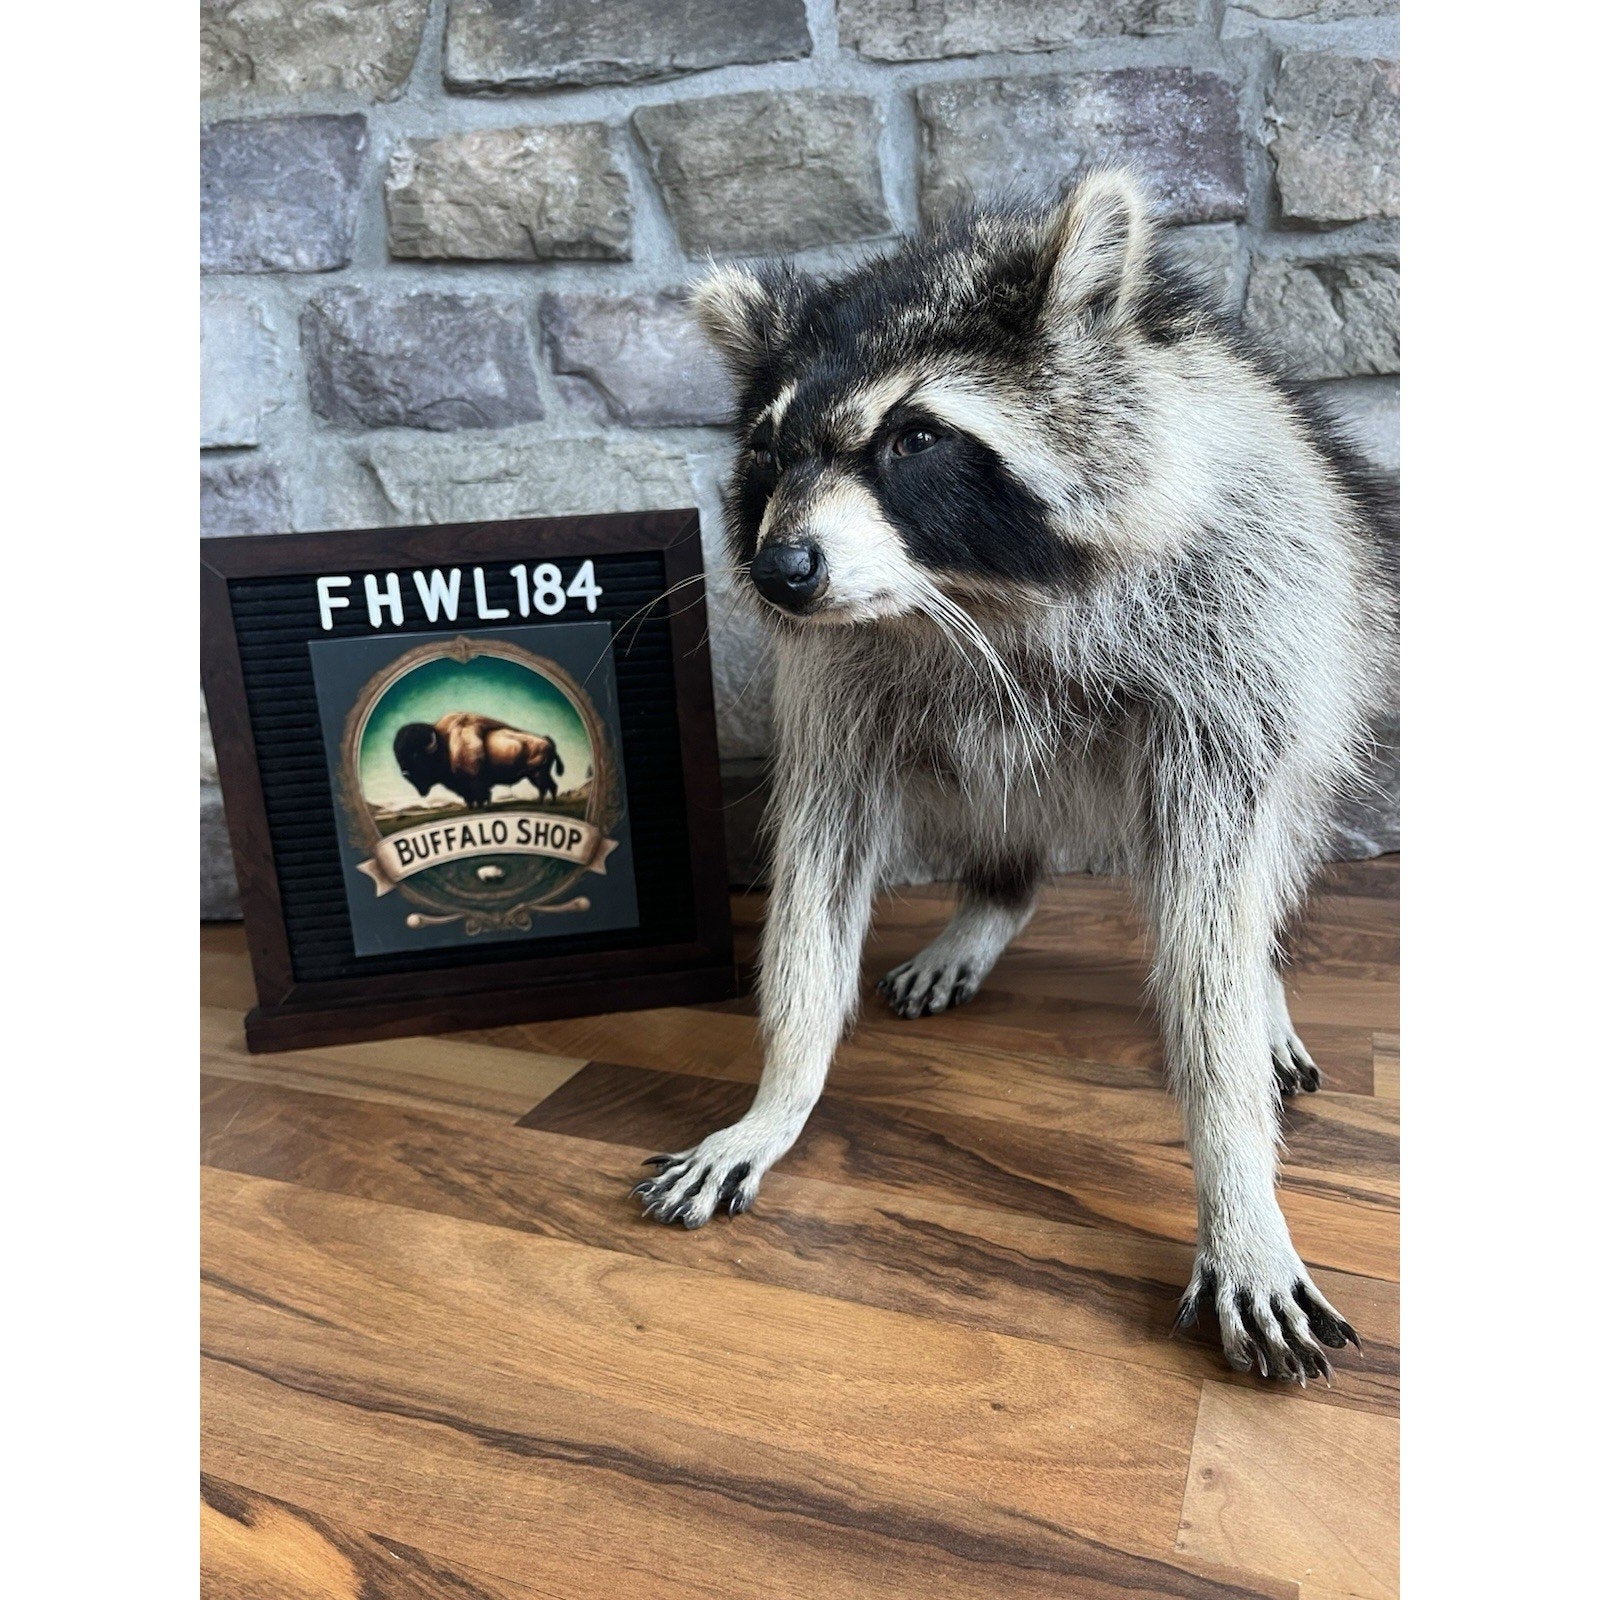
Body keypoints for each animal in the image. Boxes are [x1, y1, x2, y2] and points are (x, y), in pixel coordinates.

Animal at [632, 171, 1396, 1382]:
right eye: (770, 453)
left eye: (914, 438)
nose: (777, 569)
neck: (976, 592)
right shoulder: (842, 675)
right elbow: (816, 870)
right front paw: (780, 1089)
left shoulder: (1232, 630)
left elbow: (1212, 924)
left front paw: (1238, 1181)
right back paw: (994, 896)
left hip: (1318, 650)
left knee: (1265, 850)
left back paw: (1261, 972)